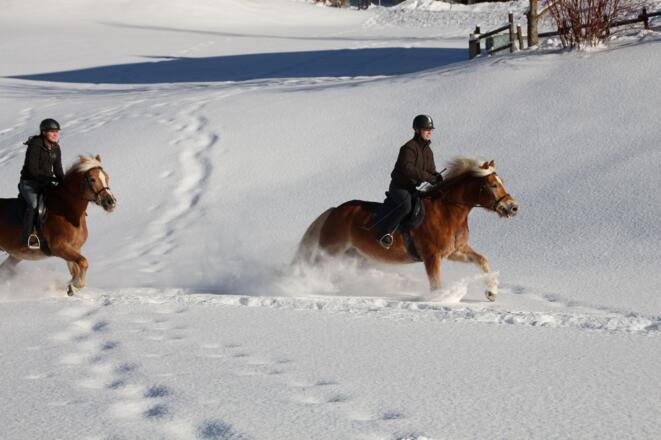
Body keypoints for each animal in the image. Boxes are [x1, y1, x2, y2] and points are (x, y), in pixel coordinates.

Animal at [0, 155, 117, 296]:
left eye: (106, 177)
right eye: (92, 179)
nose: (111, 202)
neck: (67, 211)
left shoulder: (74, 248)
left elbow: (76, 269)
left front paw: (70, 287)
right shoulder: (58, 247)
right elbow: (83, 262)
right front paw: (75, 285)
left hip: (16, 256)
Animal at [293, 158, 519, 301]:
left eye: (501, 182)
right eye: (493, 185)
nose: (513, 207)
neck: (447, 211)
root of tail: (335, 211)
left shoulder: (455, 251)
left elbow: (482, 261)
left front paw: (491, 293)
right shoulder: (432, 256)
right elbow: (435, 284)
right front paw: (440, 300)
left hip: (353, 254)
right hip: (331, 250)